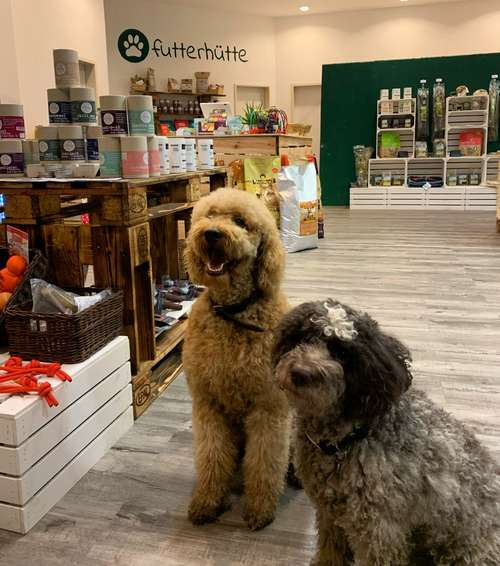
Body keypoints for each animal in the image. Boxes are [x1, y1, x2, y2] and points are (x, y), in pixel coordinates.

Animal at [183, 189, 290, 532]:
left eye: (241, 222)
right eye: (208, 215)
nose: (211, 234)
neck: (233, 314)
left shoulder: (268, 408)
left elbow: (264, 463)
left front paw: (259, 509)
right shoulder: (208, 404)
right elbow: (212, 456)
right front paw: (207, 502)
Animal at [274, 300, 500, 564]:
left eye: (343, 354)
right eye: (305, 337)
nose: (300, 373)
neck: (348, 440)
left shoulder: (378, 532)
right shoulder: (329, 513)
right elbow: (331, 550)